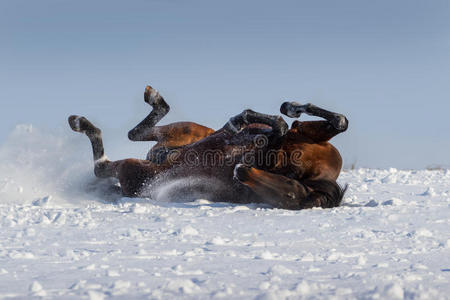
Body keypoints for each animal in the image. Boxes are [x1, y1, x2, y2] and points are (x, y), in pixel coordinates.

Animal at [68, 85, 348, 210]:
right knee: (141, 134)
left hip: (133, 169)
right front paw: (290, 108)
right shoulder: (310, 137)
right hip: (190, 130)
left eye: (291, 194)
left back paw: (81, 123)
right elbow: (338, 121)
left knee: (105, 163)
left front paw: (242, 122)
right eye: (289, 184)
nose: (240, 170)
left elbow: (274, 127)